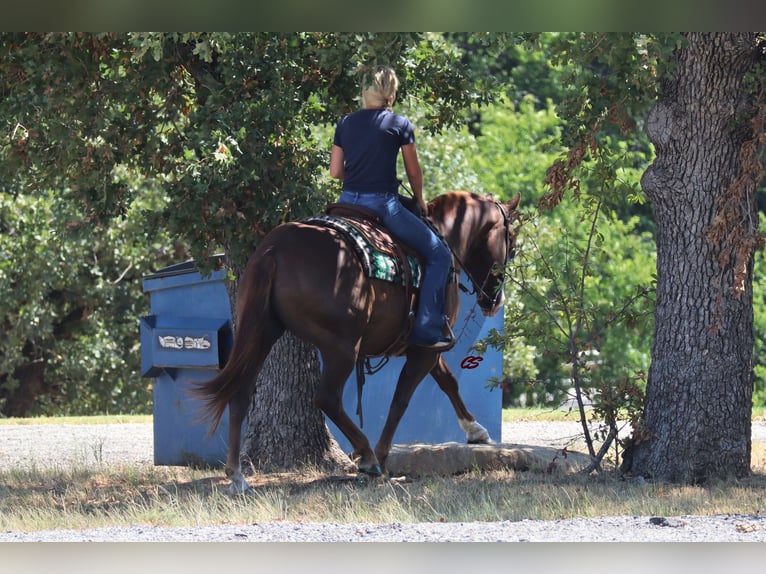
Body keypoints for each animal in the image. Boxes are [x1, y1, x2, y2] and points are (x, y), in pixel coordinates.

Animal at [195, 192, 524, 496]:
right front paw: (382, 456)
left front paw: (475, 430)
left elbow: (448, 381)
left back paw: (237, 476)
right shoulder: (427, 348)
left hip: (261, 333)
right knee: (327, 398)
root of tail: (274, 250)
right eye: (511, 242)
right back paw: (367, 457)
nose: (495, 302)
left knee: (241, 391)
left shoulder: (426, 346)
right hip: (341, 347)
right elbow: (401, 400)